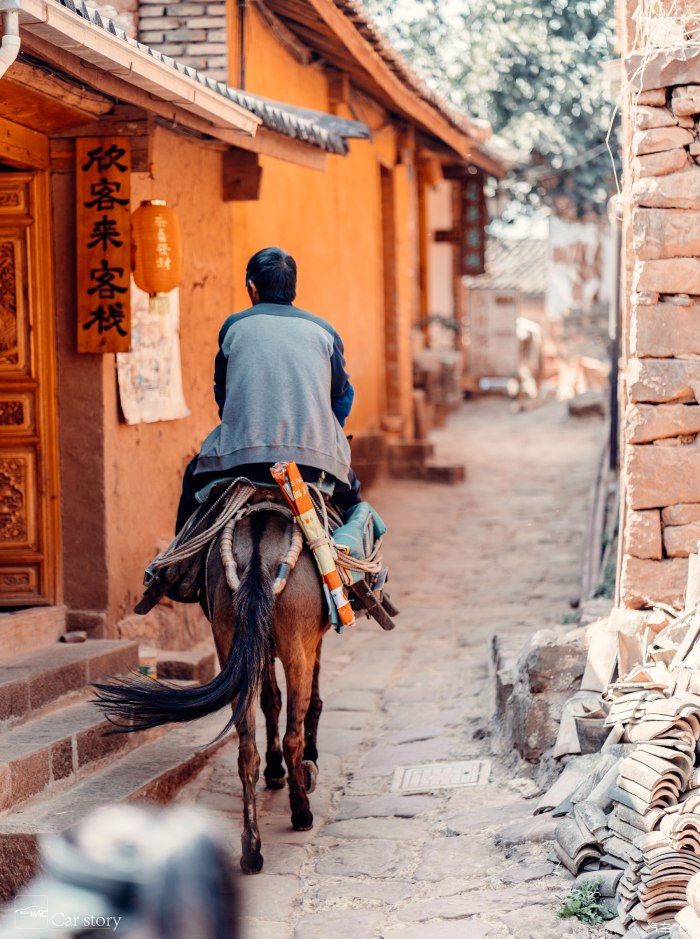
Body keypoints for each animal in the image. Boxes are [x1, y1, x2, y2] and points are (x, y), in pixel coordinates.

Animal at [92, 510, 328, 876]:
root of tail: (258, 551)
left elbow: (270, 700)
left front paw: (275, 771)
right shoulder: (312, 639)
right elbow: (304, 700)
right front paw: (306, 763)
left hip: (231, 640)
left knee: (247, 752)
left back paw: (251, 850)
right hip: (294, 647)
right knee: (293, 735)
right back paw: (301, 813)